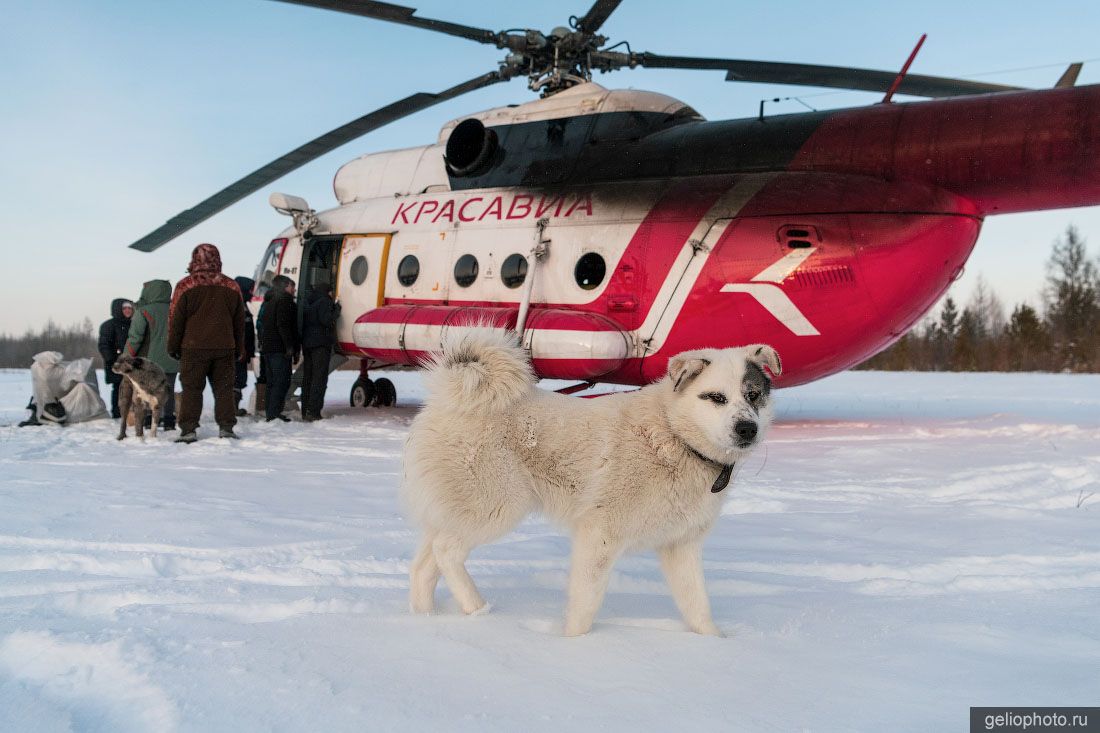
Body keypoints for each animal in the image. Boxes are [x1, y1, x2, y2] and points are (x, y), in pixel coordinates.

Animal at [404, 325, 783, 633]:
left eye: (753, 395)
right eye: (716, 397)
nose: (747, 428)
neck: (673, 436)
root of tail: (448, 400)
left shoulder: (681, 546)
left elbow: (698, 608)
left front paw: (714, 644)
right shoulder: (599, 536)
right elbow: (584, 607)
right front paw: (575, 646)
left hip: (458, 507)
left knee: (424, 565)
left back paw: (425, 620)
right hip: (497, 504)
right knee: (446, 551)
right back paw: (477, 609)